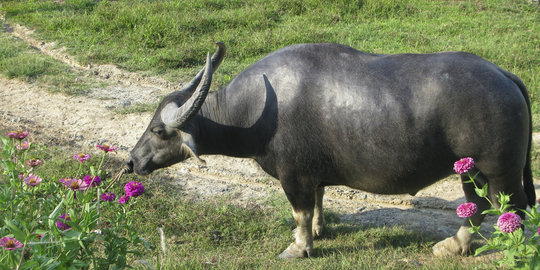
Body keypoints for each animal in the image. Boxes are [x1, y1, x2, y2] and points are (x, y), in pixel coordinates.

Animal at [124, 42, 532, 258]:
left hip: (494, 170)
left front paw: (299, 246)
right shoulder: (312, 174)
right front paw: (320, 231)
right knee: (478, 207)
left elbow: (300, 211)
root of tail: (504, 76)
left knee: (507, 209)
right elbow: (319, 201)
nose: (131, 161)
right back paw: (454, 246)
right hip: (470, 170)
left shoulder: (293, 176)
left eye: (158, 130)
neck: (253, 111)